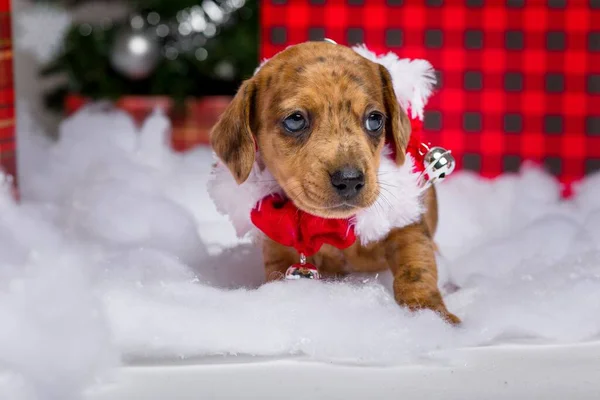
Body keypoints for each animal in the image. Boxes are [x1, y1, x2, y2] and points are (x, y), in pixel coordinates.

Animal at [211, 41, 460, 324]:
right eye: (295, 120)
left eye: (375, 119)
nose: (350, 180)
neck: (331, 226)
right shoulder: (278, 247)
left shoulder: (407, 225)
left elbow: (417, 268)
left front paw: (431, 314)